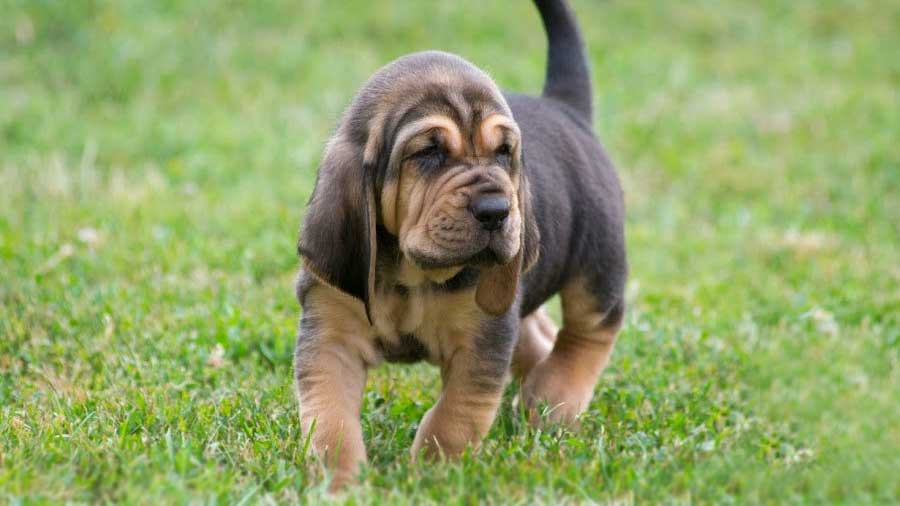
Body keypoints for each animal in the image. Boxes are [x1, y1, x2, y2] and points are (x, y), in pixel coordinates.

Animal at [296, 0, 624, 490]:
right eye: (429, 153)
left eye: (504, 152)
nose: (496, 210)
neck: (412, 274)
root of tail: (567, 109)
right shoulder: (331, 335)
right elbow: (330, 417)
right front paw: (338, 481)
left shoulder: (482, 340)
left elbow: (454, 417)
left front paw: (433, 474)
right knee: (540, 335)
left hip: (597, 265)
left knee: (590, 330)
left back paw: (555, 396)